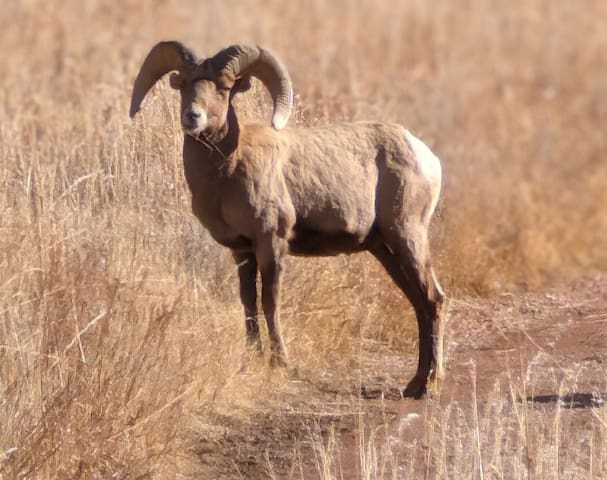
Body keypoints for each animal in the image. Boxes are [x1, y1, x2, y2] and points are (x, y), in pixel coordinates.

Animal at [131, 42, 444, 398]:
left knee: (432, 299)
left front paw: (279, 362)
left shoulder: (272, 243)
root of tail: (426, 157)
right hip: (385, 249)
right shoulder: (242, 250)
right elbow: (248, 302)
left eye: (224, 87)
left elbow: (270, 301)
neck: (226, 172)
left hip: (407, 236)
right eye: (183, 84)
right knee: (419, 303)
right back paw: (417, 383)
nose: (192, 117)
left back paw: (426, 385)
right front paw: (251, 358)